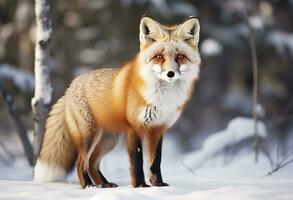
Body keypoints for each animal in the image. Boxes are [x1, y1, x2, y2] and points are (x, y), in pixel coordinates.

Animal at [33, 15, 200, 188]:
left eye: (180, 57)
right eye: (159, 57)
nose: (170, 73)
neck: (161, 99)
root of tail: (71, 86)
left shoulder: (158, 128)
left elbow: (155, 161)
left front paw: (158, 184)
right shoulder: (135, 128)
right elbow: (137, 161)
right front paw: (140, 186)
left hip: (108, 140)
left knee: (92, 163)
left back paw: (104, 185)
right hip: (89, 136)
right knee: (81, 163)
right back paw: (88, 186)